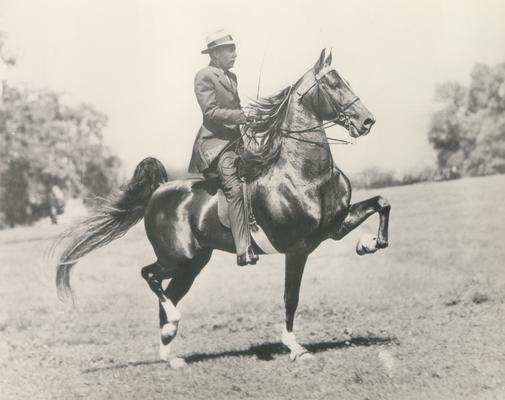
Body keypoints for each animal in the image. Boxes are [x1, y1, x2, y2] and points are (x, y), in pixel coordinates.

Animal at [52, 48, 390, 368]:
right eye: (333, 84)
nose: (367, 121)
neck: (304, 172)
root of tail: (158, 191)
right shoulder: (297, 247)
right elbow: (290, 296)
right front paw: (295, 347)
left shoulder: (334, 226)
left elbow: (381, 203)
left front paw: (369, 243)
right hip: (176, 257)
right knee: (150, 276)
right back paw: (172, 325)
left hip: (193, 264)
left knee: (168, 293)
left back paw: (170, 353)